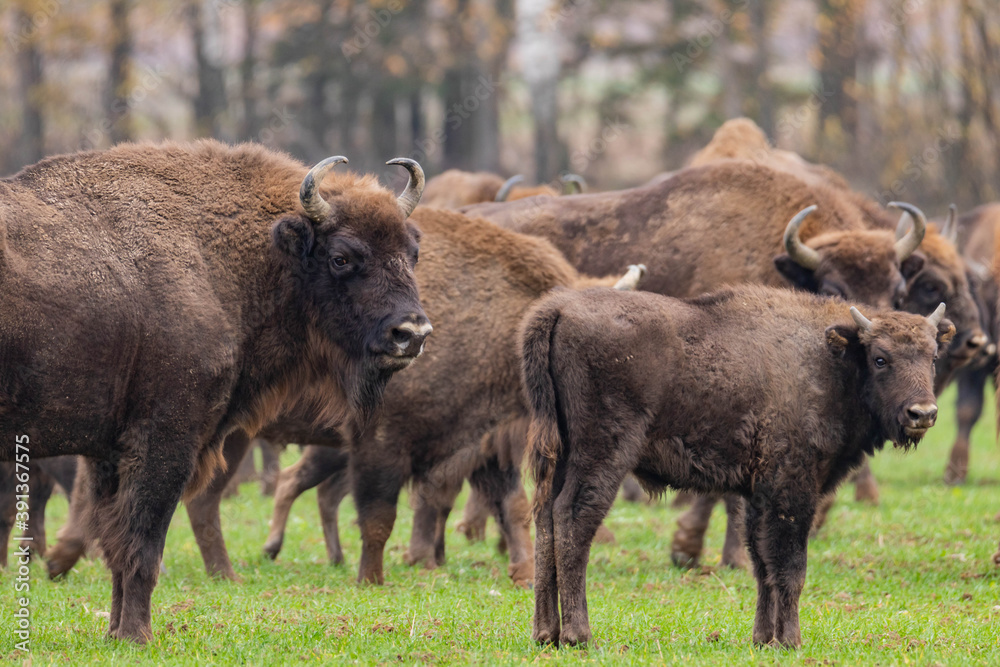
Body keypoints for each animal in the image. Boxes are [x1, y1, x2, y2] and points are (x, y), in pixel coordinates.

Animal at [0, 140, 430, 640]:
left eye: (412, 252)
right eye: (341, 257)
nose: (411, 333)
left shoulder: (108, 454)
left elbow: (115, 542)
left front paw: (116, 634)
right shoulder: (165, 442)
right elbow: (142, 544)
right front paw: (138, 637)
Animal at [524, 284, 952, 648]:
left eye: (932, 357)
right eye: (880, 359)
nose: (923, 413)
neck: (832, 361)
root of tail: (557, 309)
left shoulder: (757, 494)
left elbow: (762, 563)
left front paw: (763, 638)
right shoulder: (792, 488)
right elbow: (790, 566)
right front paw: (791, 640)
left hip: (559, 455)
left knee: (545, 521)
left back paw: (546, 633)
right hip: (604, 454)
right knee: (573, 520)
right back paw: (579, 635)